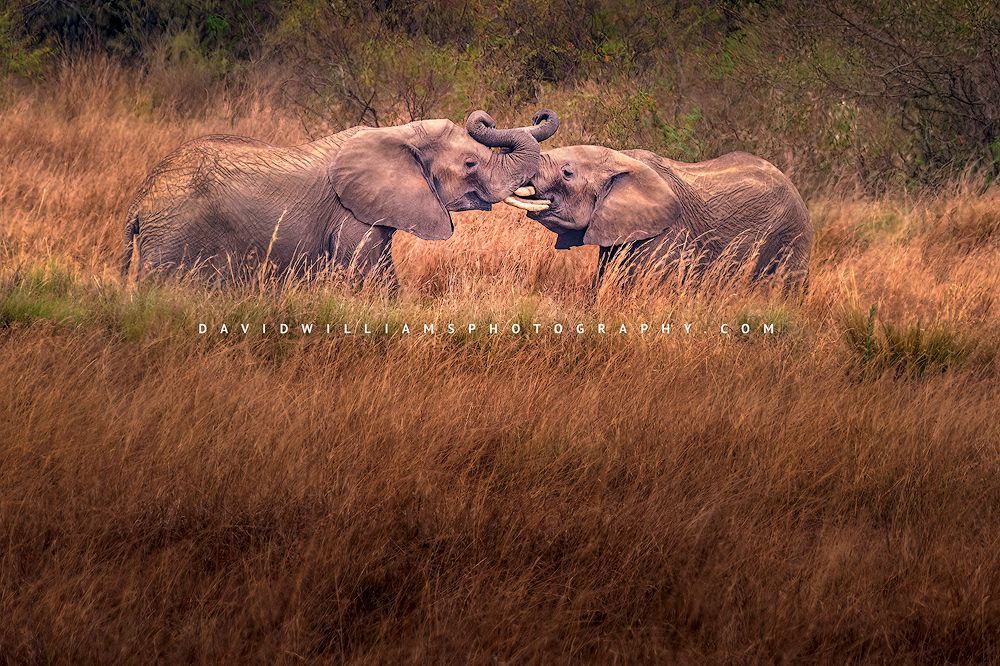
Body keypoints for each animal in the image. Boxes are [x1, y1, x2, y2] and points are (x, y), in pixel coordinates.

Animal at [121, 109, 559, 289]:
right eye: (470, 164)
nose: (539, 114)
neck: (396, 132)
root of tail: (139, 203)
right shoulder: (351, 217)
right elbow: (373, 279)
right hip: (171, 239)